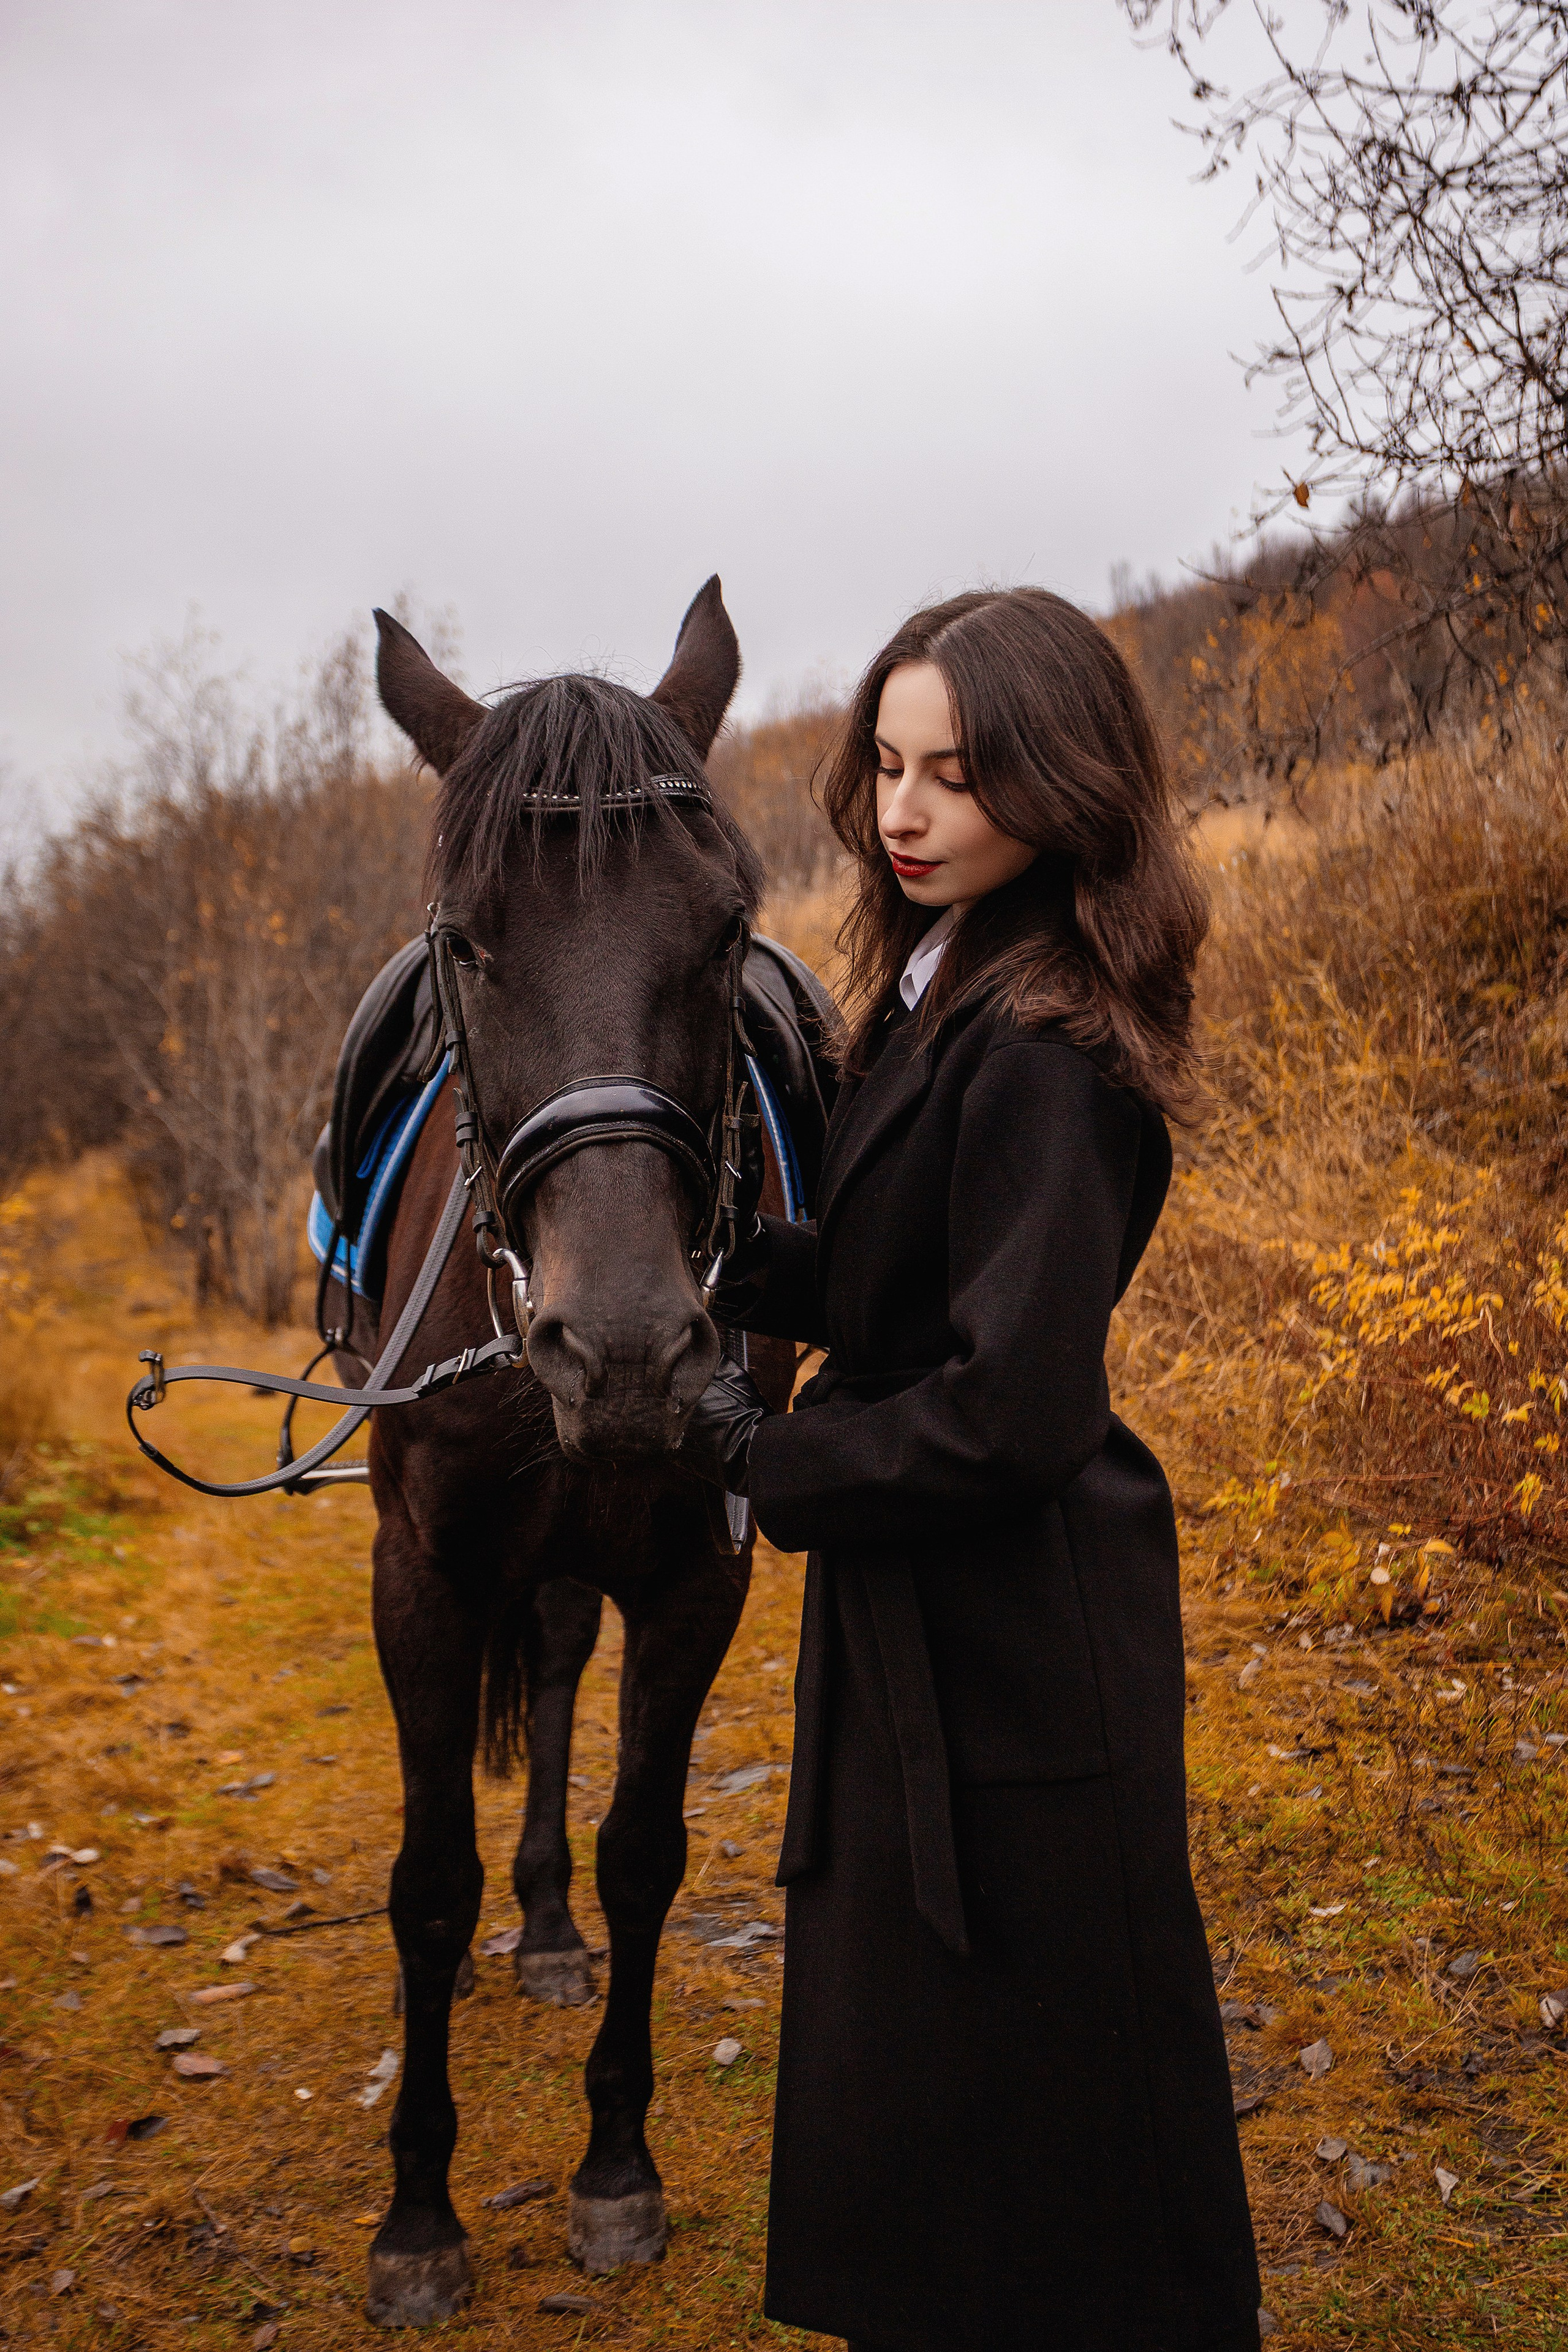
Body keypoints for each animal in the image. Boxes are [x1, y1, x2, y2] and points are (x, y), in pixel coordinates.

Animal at [342, 582, 802, 2326]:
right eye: (468, 940)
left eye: (725, 929)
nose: (620, 1351)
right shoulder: (420, 1572)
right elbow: (426, 1882)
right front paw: (419, 2214)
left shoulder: (694, 1575)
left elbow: (642, 1852)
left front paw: (614, 2171)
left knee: (547, 1674)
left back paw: (547, 1930)